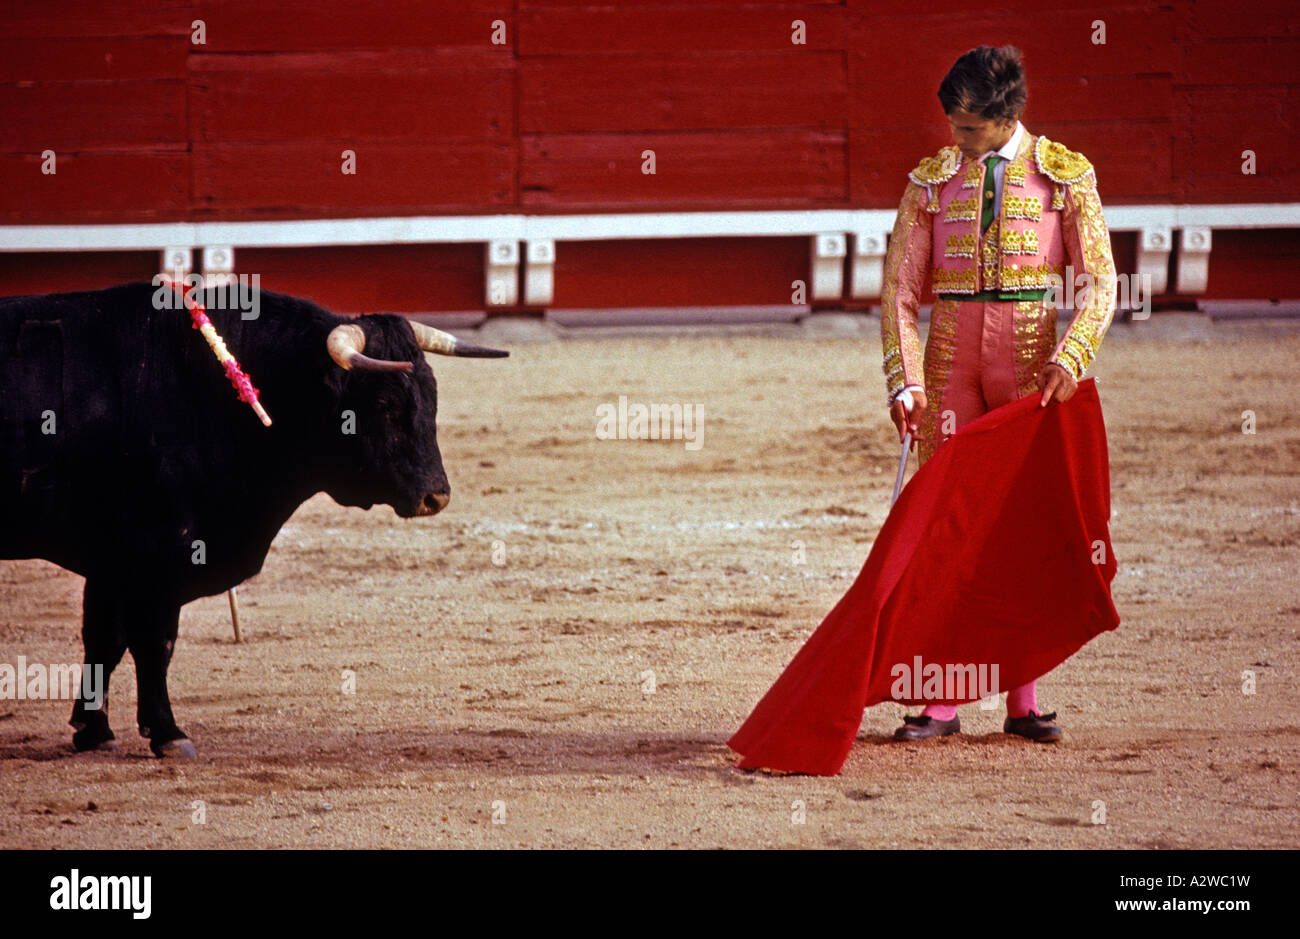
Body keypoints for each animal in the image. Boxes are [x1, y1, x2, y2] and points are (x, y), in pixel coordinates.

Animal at [0, 278, 504, 754]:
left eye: (431, 396)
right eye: (385, 405)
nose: (435, 497)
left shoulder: (111, 559)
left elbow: (106, 639)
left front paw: (94, 731)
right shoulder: (157, 553)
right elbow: (154, 641)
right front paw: (168, 733)